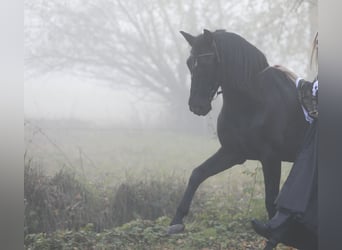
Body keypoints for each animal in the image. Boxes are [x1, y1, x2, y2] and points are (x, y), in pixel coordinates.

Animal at [168, 29, 308, 234]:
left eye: (207, 63)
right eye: (189, 63)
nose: (196, 106)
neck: (253, 102)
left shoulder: (271, 158)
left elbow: (271, 201)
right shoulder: (233, 153)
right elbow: (197, 174)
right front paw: (176, 221)